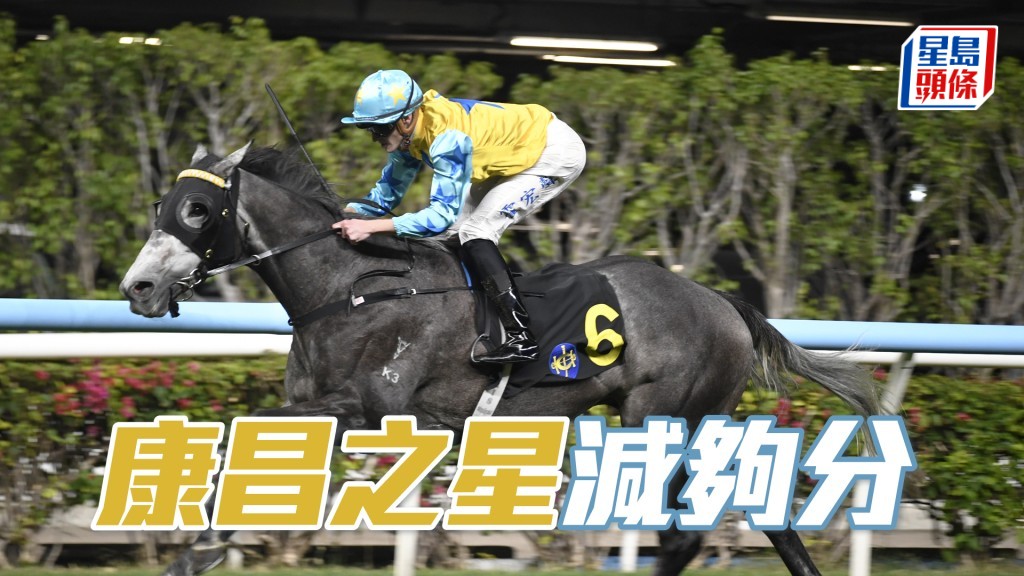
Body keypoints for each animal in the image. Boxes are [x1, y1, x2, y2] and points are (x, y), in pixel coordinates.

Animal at [120, 142, 880, 576]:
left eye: (196, 210)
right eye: (163, 203)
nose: (138, 288)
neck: (351, 286)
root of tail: (721, 300)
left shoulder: (370, 408)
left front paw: (203, 548)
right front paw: (198, 548)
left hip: (667, 418)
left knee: (684, 534)